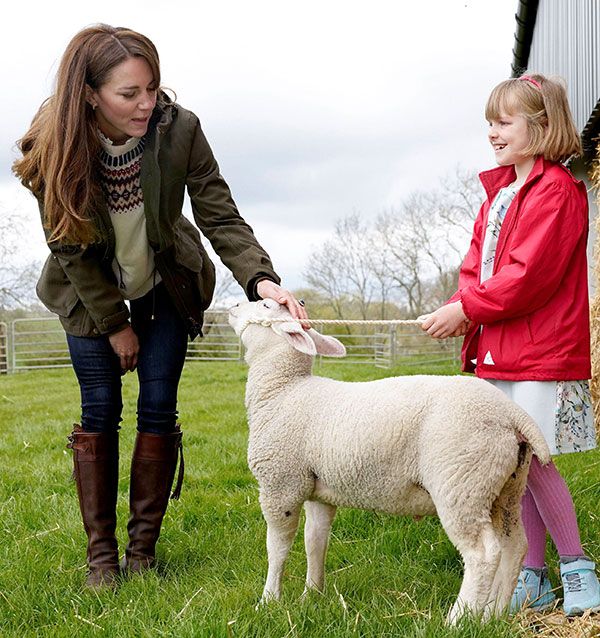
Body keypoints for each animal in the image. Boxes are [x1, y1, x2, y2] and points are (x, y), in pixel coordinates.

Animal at [227, 300, 552, 624]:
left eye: (265, 304)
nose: (233, 305)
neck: (284, 389)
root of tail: (511, 413)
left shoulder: (280, 484)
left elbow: (277, 548)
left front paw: (268, 600)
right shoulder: (318, 490)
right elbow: (315, 543)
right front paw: (312, 594)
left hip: (461, 483)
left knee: (483, 554)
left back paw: (457, 620)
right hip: (504, 487)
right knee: (514, 546)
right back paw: (493, 615)